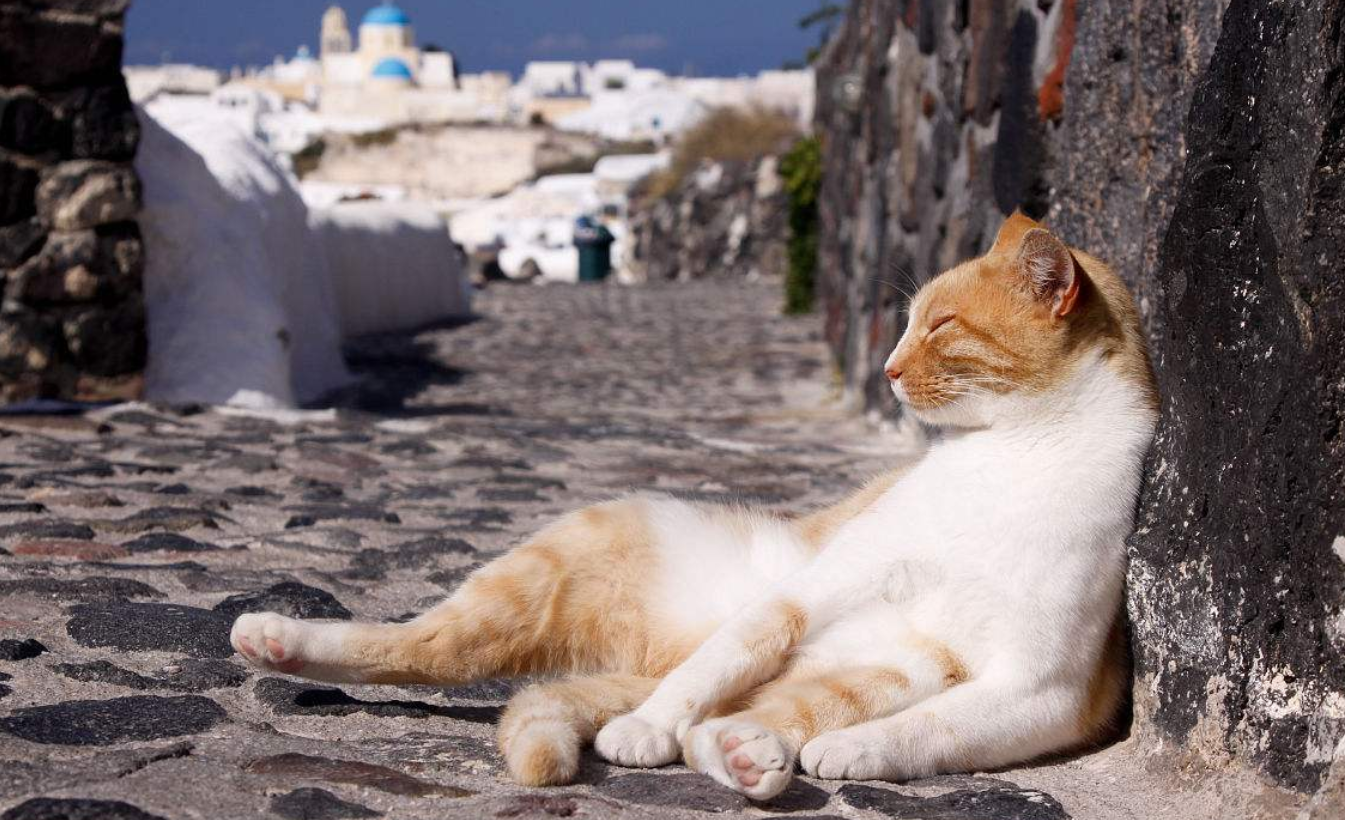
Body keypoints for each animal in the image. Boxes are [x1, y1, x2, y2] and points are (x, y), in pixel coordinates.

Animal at [231, 211, 1156, 795]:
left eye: (940, 327)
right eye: (907, 323)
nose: (888, 368)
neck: (1013, 453)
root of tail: (643, 653)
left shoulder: (1039, 689)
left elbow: (924, 734)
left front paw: (851, 753)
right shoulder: (810, 590)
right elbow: (716, 665)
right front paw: (645, 728)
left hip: (901, 666)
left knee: (754, 718)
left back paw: (754, 756)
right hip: (549, 570)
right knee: (423, 648)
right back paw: (278, 638)